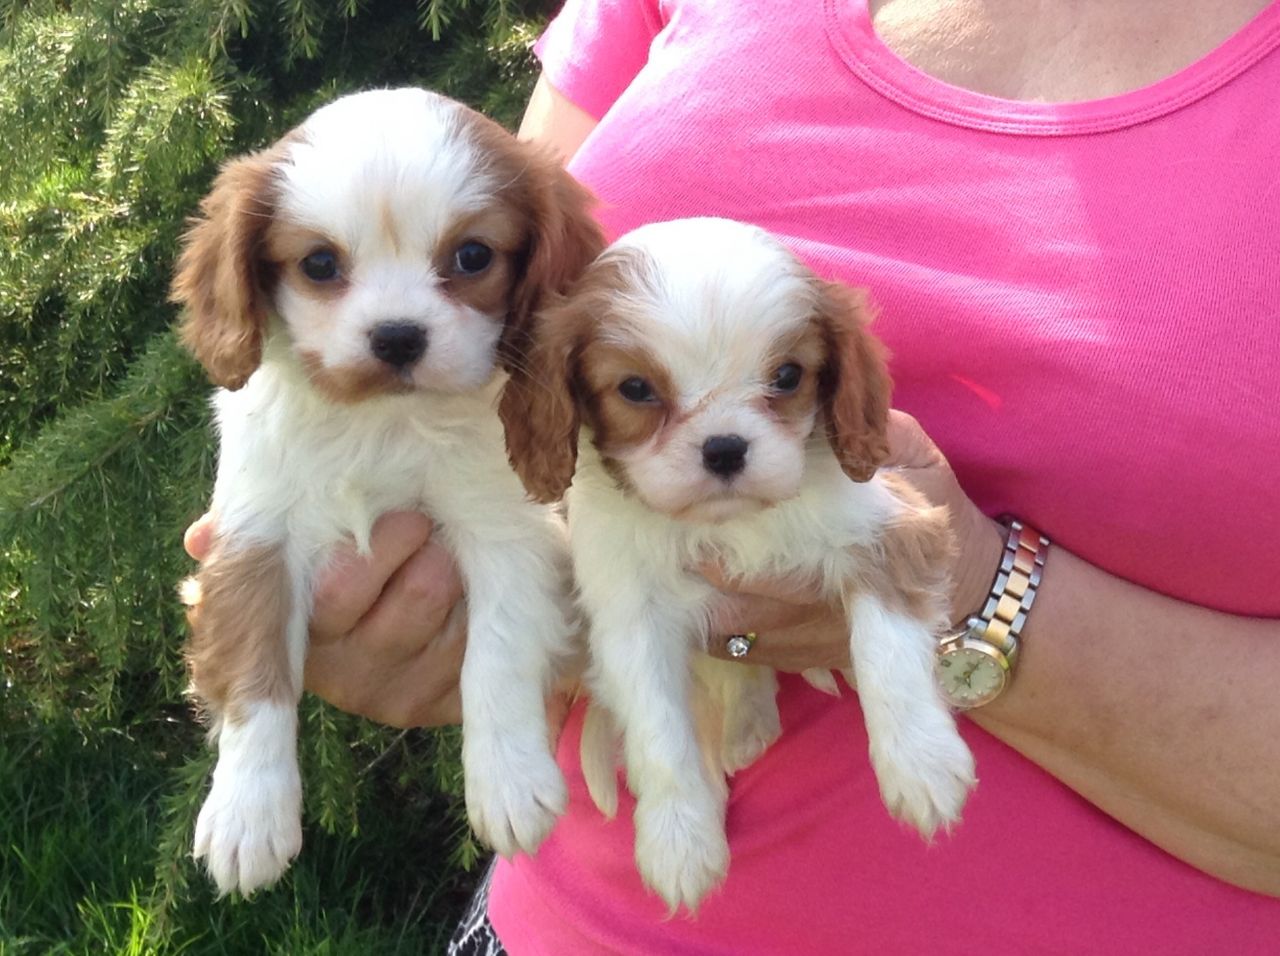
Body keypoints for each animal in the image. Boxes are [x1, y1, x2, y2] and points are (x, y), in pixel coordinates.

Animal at [171, 89, 604, 895]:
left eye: (473, 256)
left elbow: (496, 653)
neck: (382, 422)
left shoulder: (509, 530)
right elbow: (252, 671)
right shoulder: (252, 533)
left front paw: (508, 782)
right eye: (318, 264)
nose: (398, 336)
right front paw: (248, 813)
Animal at [499, 216, 967, 911]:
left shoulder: (892, 528)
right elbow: (659, 726)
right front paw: (679, 840)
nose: (724, 448)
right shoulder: (630, 617)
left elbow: (886, 646)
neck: (733, 523)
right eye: (635, 389)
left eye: (788, 376)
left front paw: (922, 763)